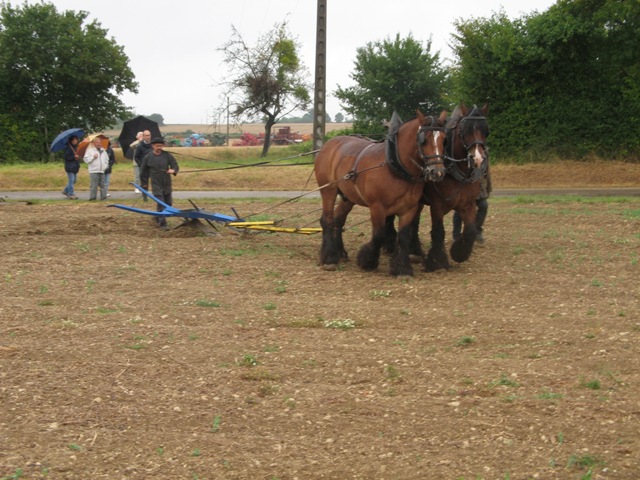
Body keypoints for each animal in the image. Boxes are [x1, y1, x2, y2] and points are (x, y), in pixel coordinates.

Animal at [314, 110, 448, 276]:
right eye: (423, 140)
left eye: (444, 140)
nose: (438, 172)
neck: (395, 166)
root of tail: (329, 144)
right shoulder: (377, 207)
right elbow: (378, 235)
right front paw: (368, 261)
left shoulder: (409, 208)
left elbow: (403, 236)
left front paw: (402, 268)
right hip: (328, 190)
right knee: (327, 220)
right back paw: (329, 259)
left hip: (348, 197)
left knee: (338, 219)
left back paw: (340, 253)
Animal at [404, 103, 490, 272]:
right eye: (465, 131)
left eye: (486, 131)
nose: (477, 159)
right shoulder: (437, 206)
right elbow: (438, 231)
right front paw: (436, 261)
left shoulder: (468, 204)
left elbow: (470, 230)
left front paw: (459, 253)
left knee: (414, 222)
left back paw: (415, 251)